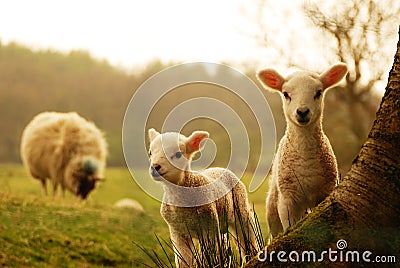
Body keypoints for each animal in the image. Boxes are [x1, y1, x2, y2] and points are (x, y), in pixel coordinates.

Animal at [148, 129, 258, 266]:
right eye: (150, 153)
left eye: (178, 154)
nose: (155, 167)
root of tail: (220, 168)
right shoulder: (177, 232)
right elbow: (183, 260)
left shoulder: (208, 229)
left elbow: (208, 258)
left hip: (241, 210)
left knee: (247, 239)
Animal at [258, 63, 348, 239]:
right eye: (286, 94)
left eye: (318, 92)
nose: (302, 112)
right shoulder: (287, 199)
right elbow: (289, 227)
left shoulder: (324, 193)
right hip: (273, 202)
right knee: (273, 231)